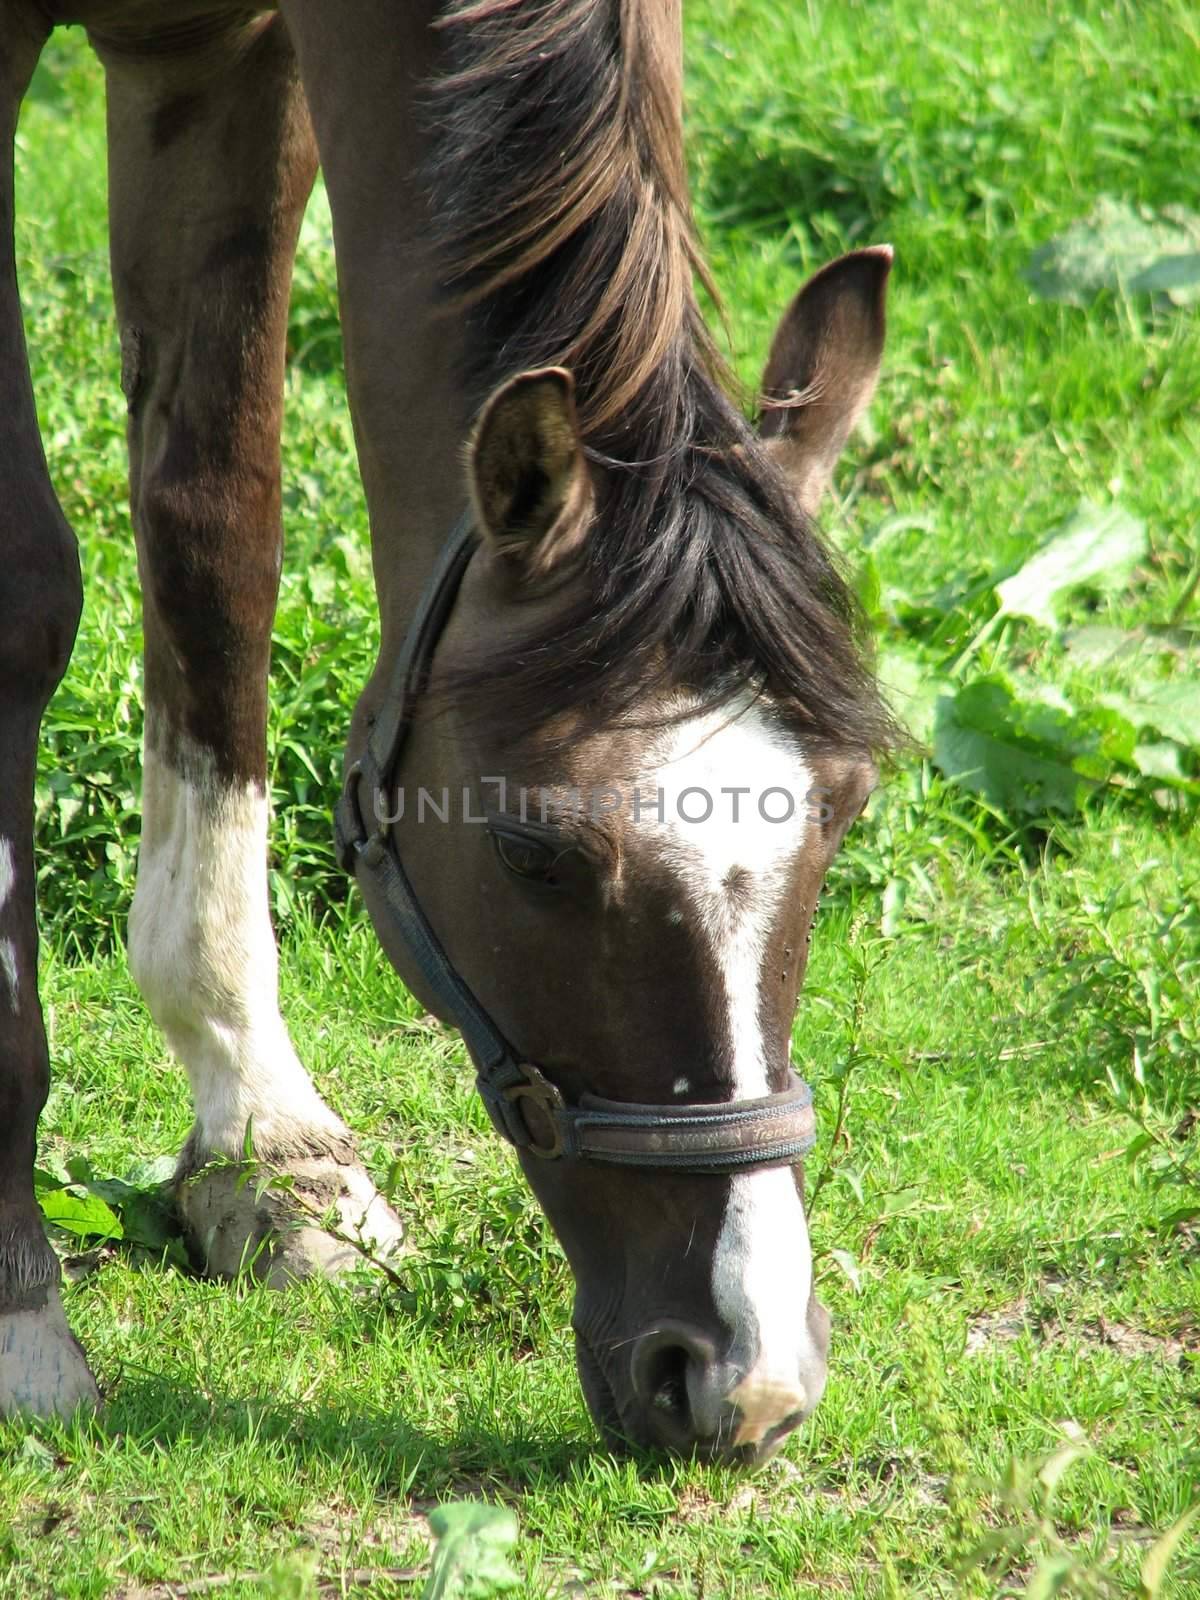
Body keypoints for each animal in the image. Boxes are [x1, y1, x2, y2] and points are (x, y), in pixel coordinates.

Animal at [0, 0, 896, 1465]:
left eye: (845, 807)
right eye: (534, 850)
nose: (741, 1375)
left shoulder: (228, 53)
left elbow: (215, 532)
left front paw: (267, 1146)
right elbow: (26, 591)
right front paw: (18, 1293)